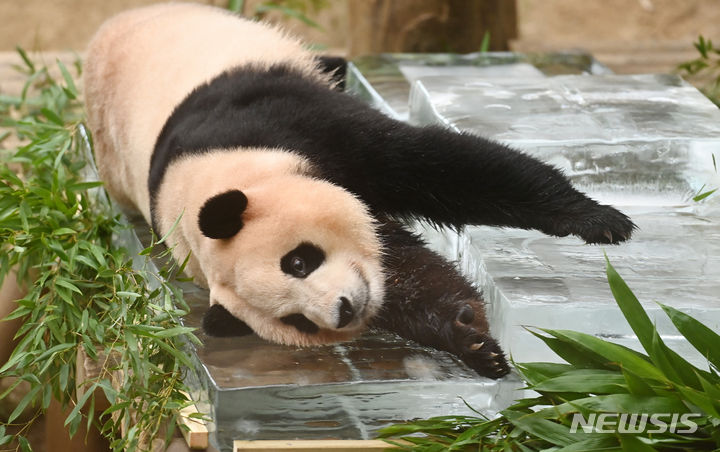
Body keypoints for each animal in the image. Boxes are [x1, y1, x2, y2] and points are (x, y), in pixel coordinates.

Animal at [84, 2, 636, 378]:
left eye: (298, 261)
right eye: (298, 320)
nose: (345, 309)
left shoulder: (279, 123)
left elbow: (440, 166)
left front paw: (598, 219)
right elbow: (402, 272)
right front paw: (471, 339)